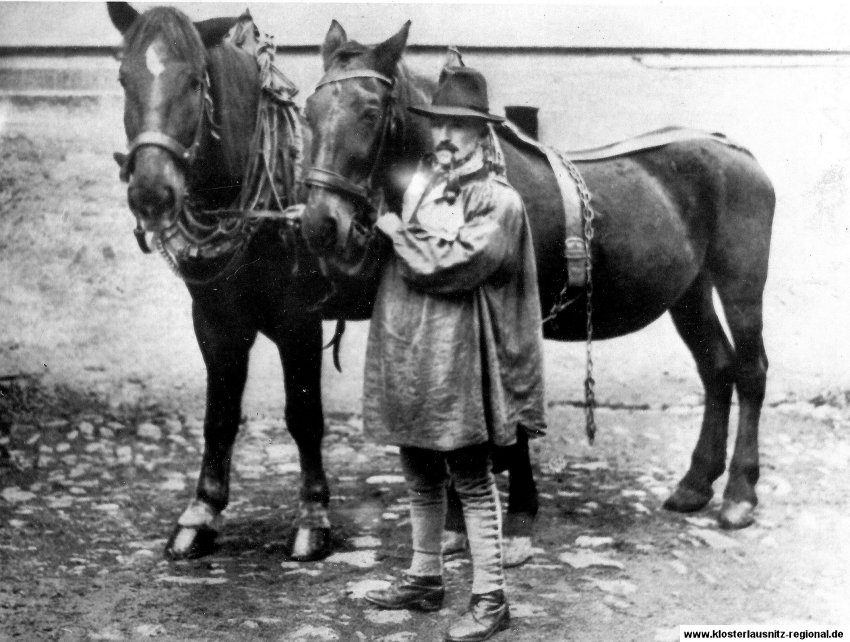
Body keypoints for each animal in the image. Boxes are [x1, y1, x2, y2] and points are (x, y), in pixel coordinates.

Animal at [107, 1, 340, 560]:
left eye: (195, 81)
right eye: (124, 78)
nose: (151, 192)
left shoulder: (300, 322)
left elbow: (304, 416)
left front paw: (312, 517)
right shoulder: (214, 319)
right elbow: (220, 415)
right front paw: (202, 512)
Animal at [300, 18, 776, 536]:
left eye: (370, 113)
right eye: (309, 112)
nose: (321, 224)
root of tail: (741, 155)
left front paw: (514, 506)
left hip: (741, 286)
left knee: (750, 371)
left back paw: (740, 492)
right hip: (690, 293)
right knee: (717, 369)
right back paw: (695, 483)